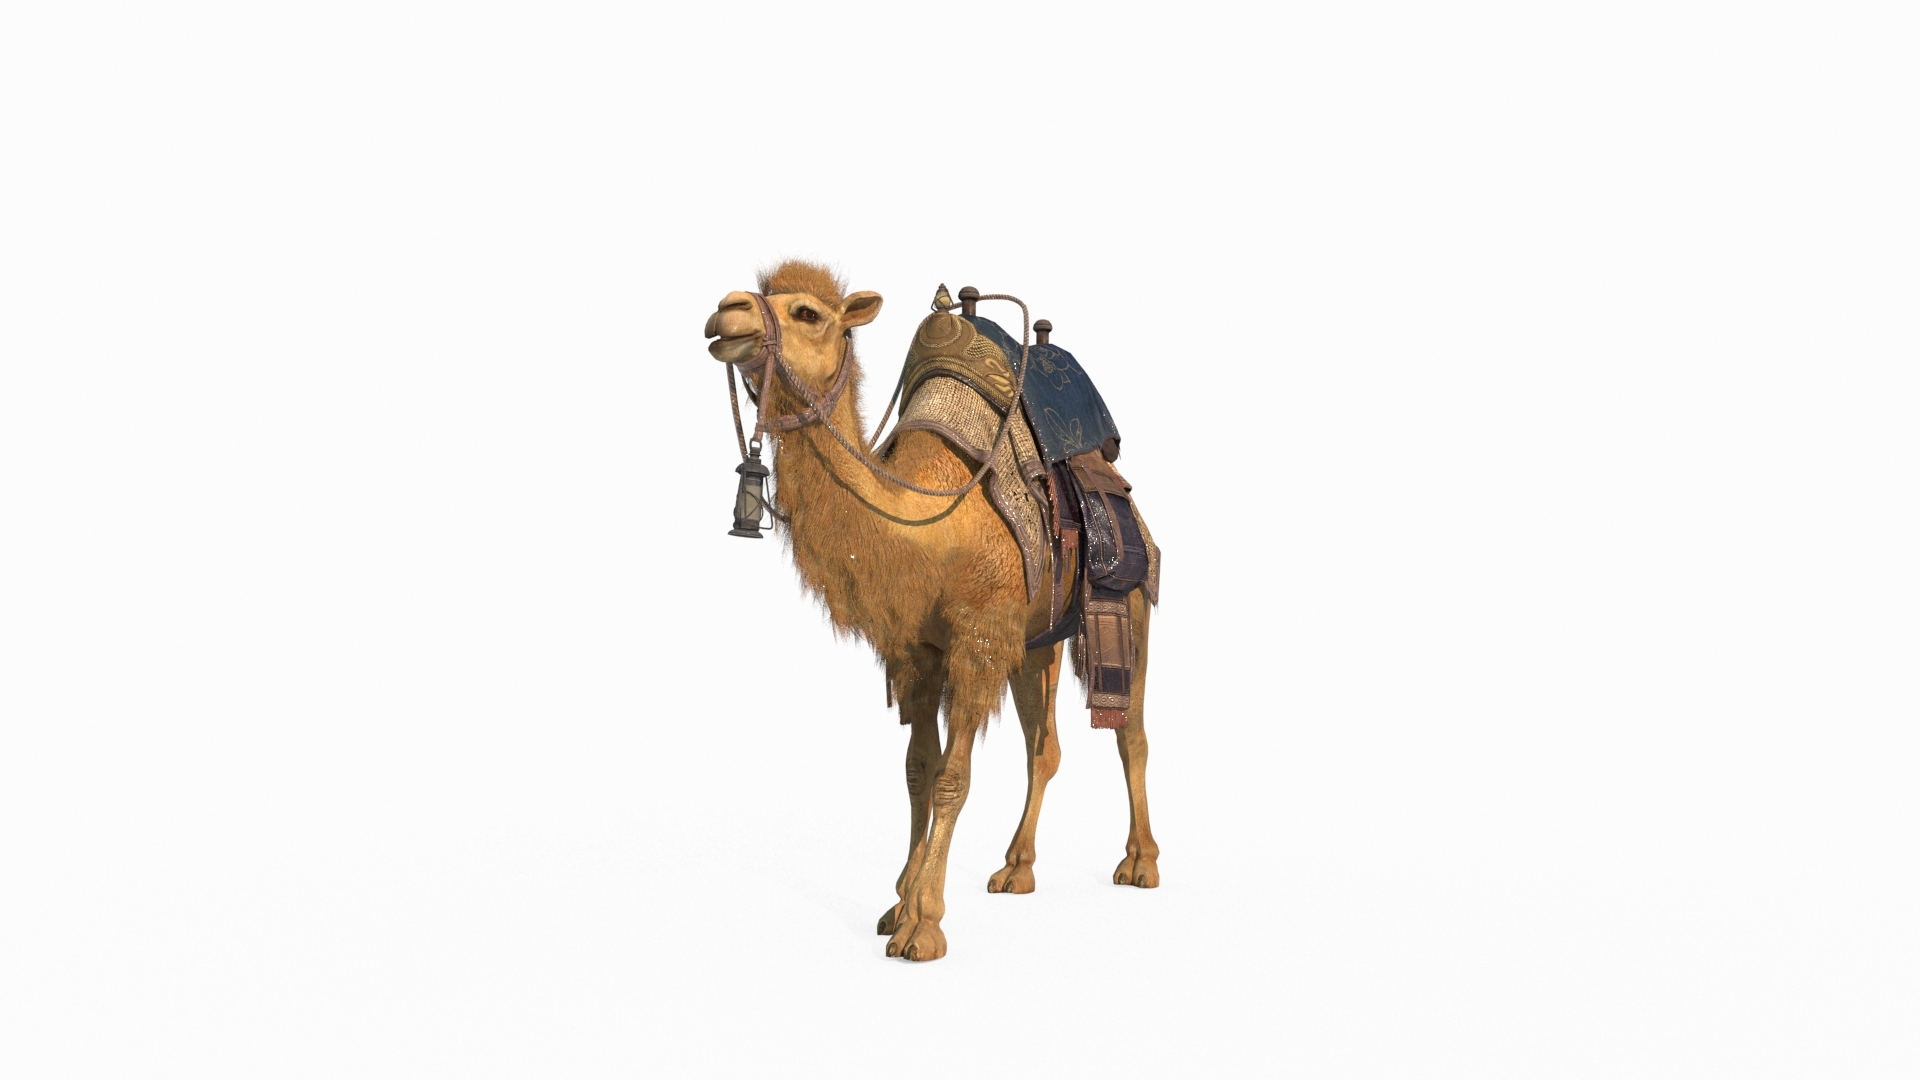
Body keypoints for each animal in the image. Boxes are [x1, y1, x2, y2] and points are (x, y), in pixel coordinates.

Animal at [702, 260, 1157, 961]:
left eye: (807, 312)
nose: (727, 312)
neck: (929, 527)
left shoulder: (976, 640)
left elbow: (952, 777)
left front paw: (924, 925)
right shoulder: (917, 651)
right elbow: (919, 770)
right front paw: (897, 902)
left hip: (1131, 600)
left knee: (1130, 732)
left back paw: (1140, 864)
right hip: (1038, 639)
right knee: (1044, 747)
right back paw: (1016, 868)